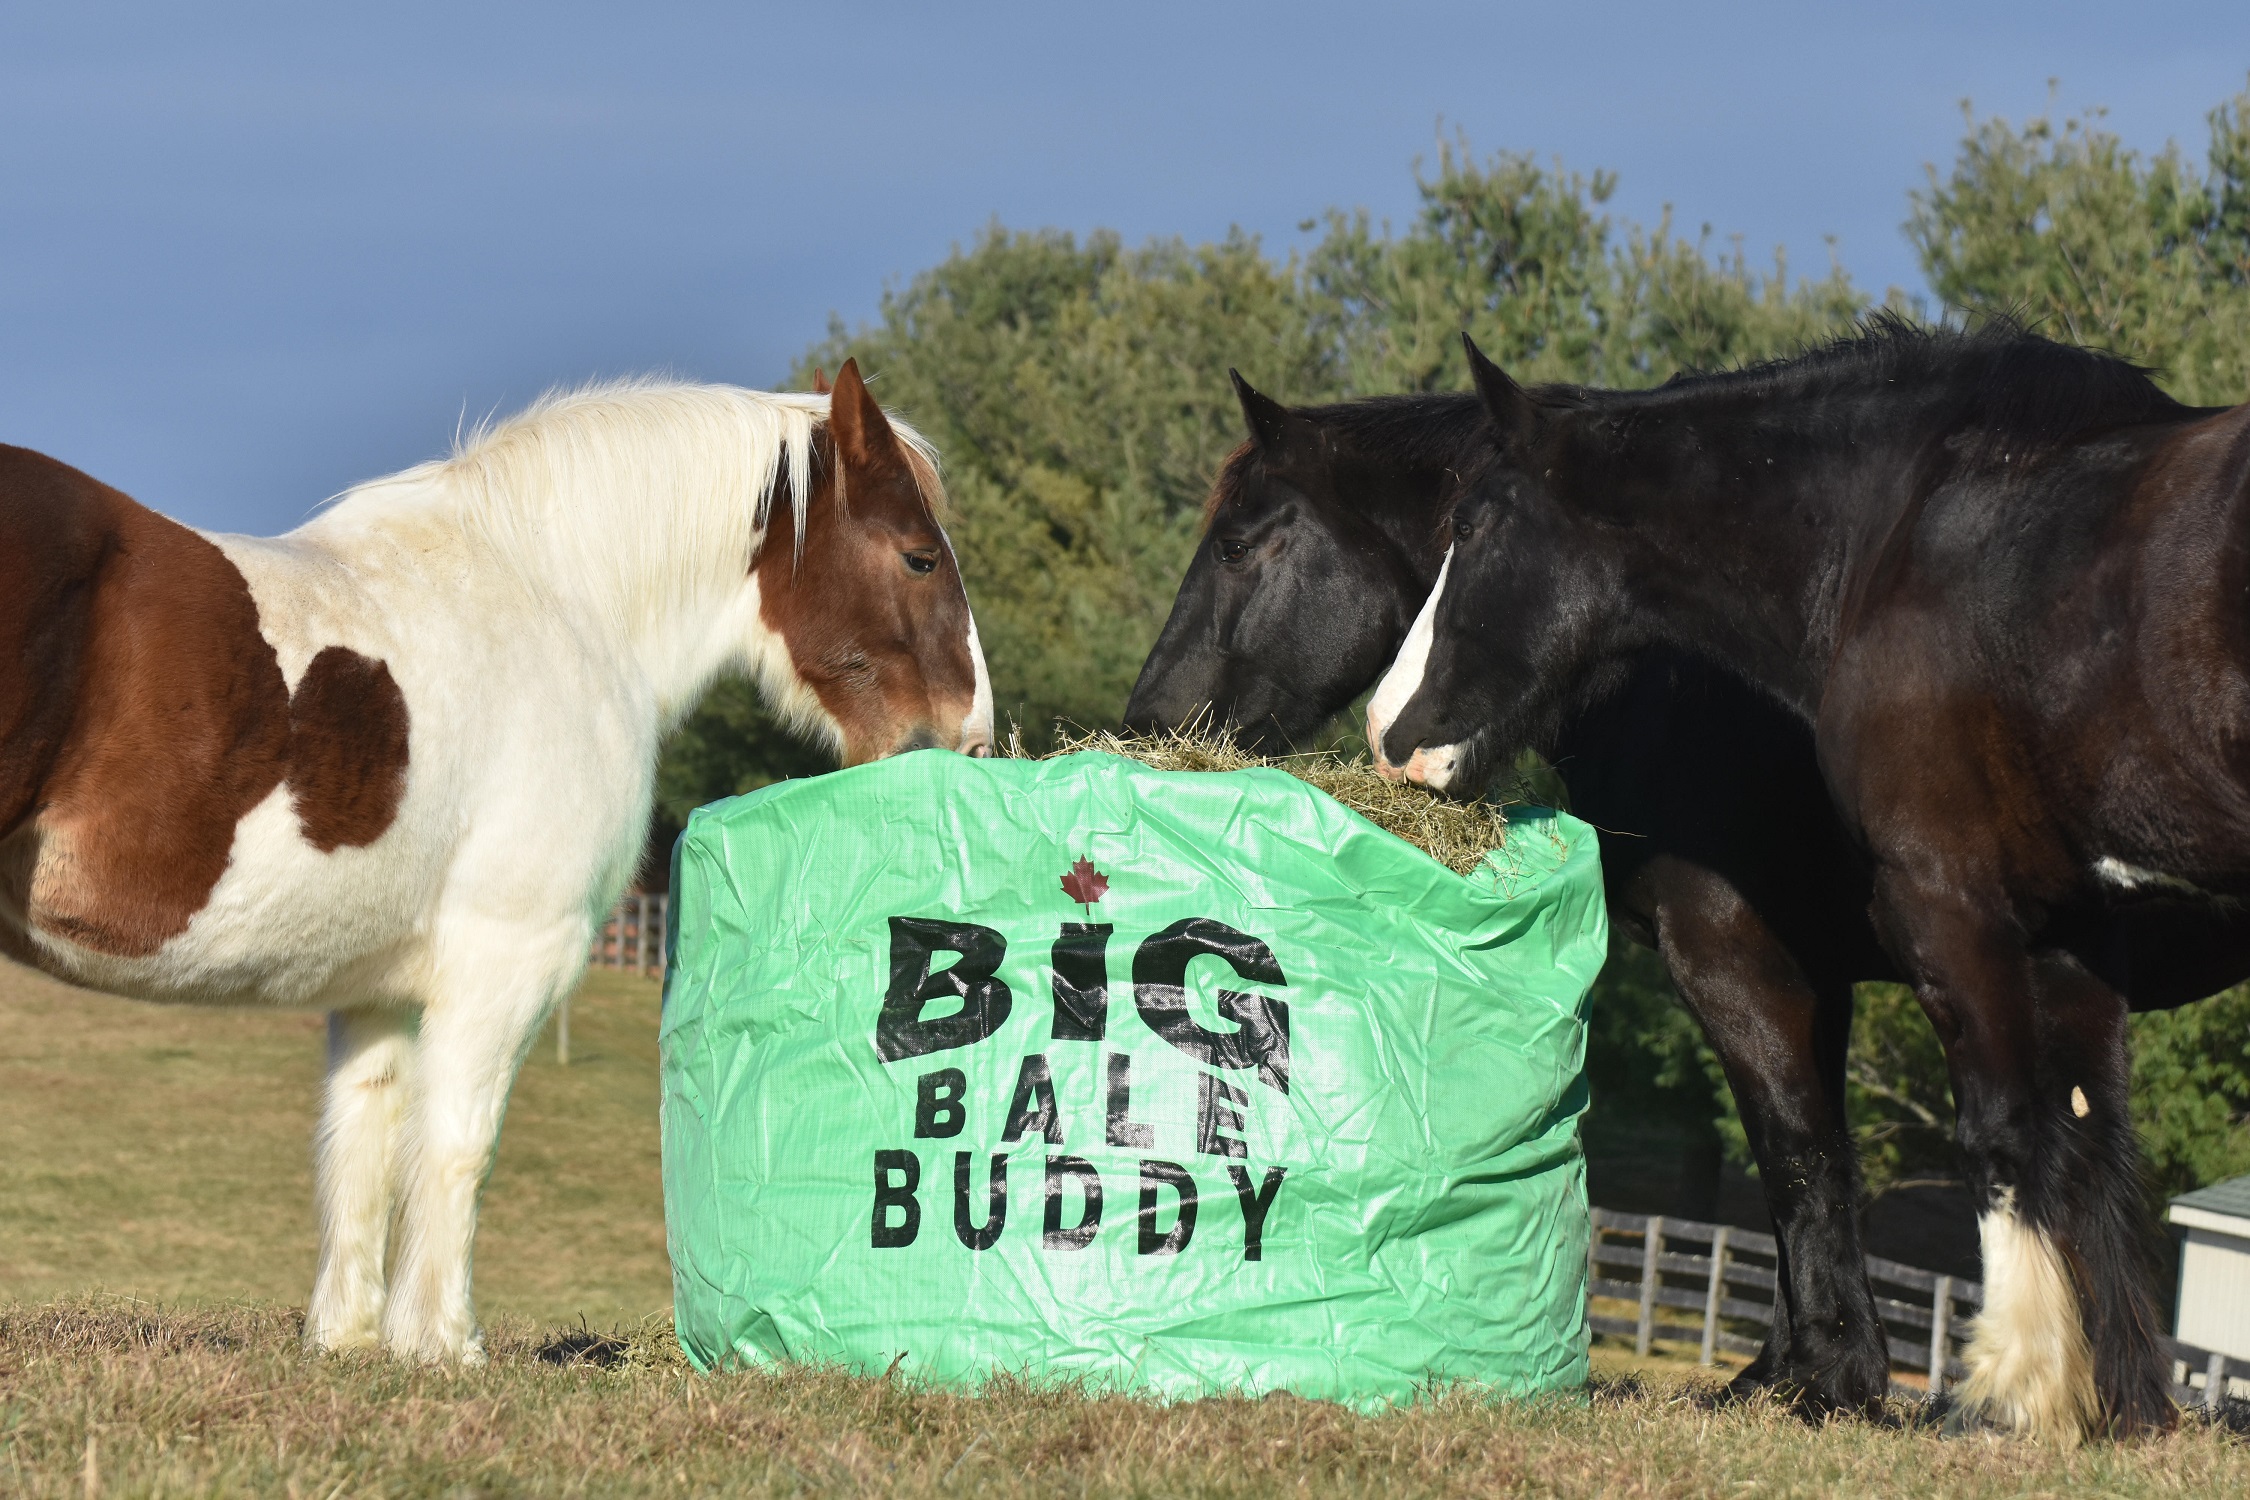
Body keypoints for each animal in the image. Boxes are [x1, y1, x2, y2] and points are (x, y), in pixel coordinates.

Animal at [0, 359, 994, 1358]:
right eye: (920, 556)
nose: (972, 738)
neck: (560, 603)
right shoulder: (506, 955)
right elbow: (455, 1143)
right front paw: (444, 1345)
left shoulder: (376, 984)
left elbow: (359, 1141)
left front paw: (350, 1339)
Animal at [1368, 326, 2250, 1439]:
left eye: (1474, 524)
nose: (1385, 730)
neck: (1911, 535)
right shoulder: (2069, 934)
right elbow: (2087, 1148)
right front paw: (2115, 1409)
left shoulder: (1935, 905)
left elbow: (1985, 1134)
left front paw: (1999, 1395)